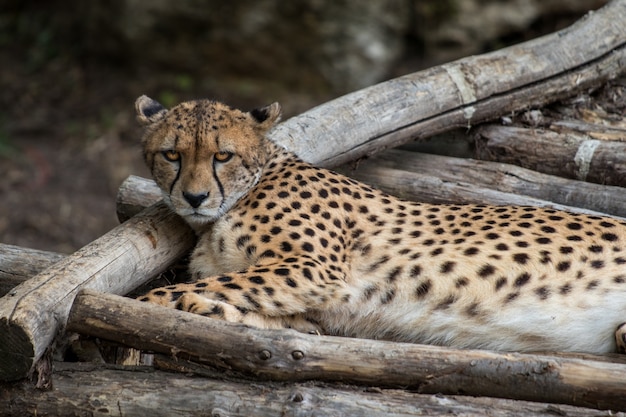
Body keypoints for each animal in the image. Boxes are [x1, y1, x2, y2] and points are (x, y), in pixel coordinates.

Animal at [135, 95, 626, 354]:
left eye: (223, 155)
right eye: (172, 154)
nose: (194, 197)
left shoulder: (312, 268)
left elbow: (162, 295)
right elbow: (258, 312)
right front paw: (218, 310)